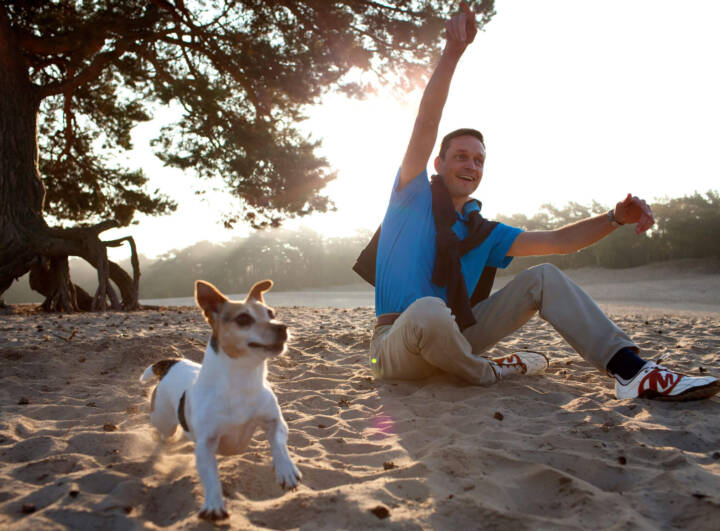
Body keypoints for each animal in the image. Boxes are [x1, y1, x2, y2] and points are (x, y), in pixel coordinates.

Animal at [139, 280, 300, 520]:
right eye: (243, 319)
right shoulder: (206, 445)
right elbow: (211, 477)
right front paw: (214, 503)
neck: (242, 380)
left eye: (271, 314)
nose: (282, 327)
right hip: (164, 421)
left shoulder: (275, 422)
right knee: (163, 433)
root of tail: (173, 362)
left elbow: (279, 445)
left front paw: (286, 470)